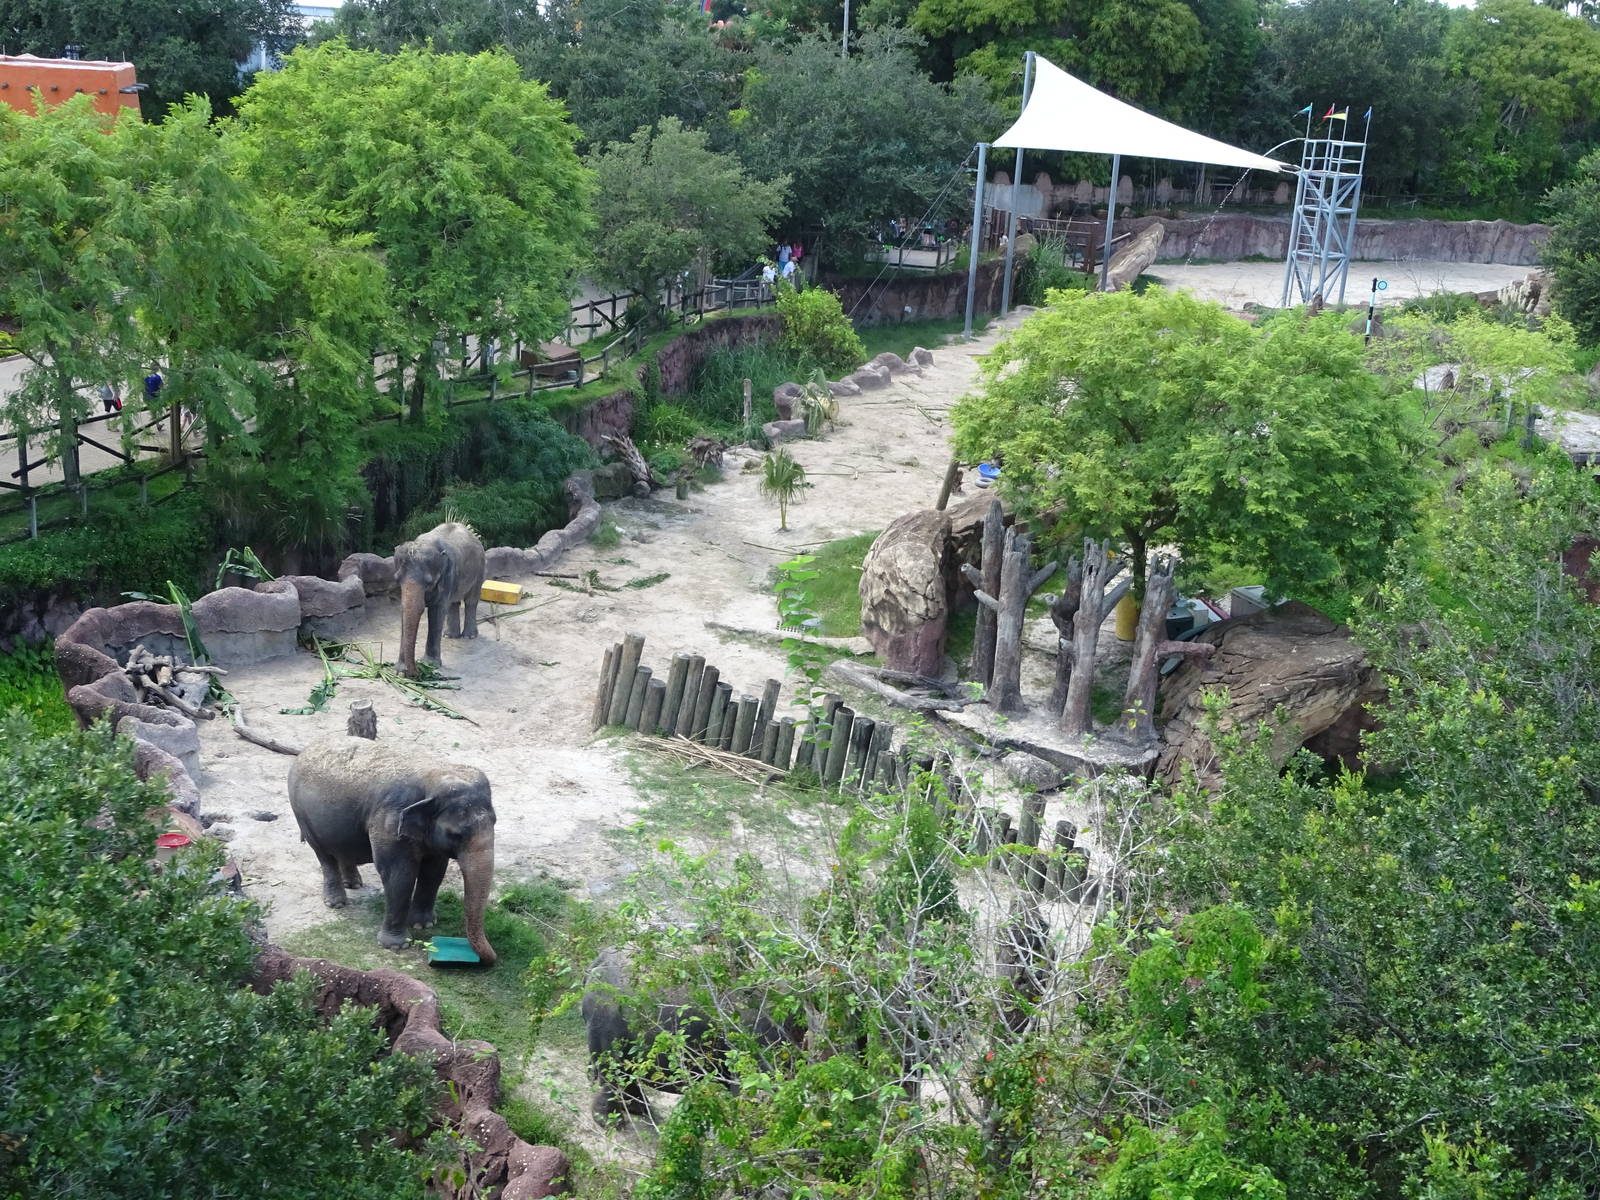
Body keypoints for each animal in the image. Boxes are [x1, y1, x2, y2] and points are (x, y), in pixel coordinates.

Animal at [288, 736, 497, 965]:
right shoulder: (389, 822)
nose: (494, 957)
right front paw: (397, 946)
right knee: (324, 855)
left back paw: (354, 884)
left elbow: (433, 872)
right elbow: (400, 875)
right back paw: (336, 903)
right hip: (302, 815)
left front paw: (424, 925)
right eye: (456, 835)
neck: (435, 775)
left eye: (495, 821)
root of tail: (306, 749)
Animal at [395, 521, 486, 678]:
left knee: (470, 601)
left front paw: (429, 665)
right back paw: (450, 636)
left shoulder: (447, 575)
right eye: (397, 579)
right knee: (453, 603)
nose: (413, 672)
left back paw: (469, 636)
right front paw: (399, 671)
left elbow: (436, 611)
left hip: (480, 568)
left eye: (429, 582)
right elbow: (404, 610)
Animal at [580, 947, 800, 1120]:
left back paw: (641, 1111)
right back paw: (612, 1120)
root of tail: (597, 961)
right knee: (613, 1065)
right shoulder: (757, 1038)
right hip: (607, 1011)